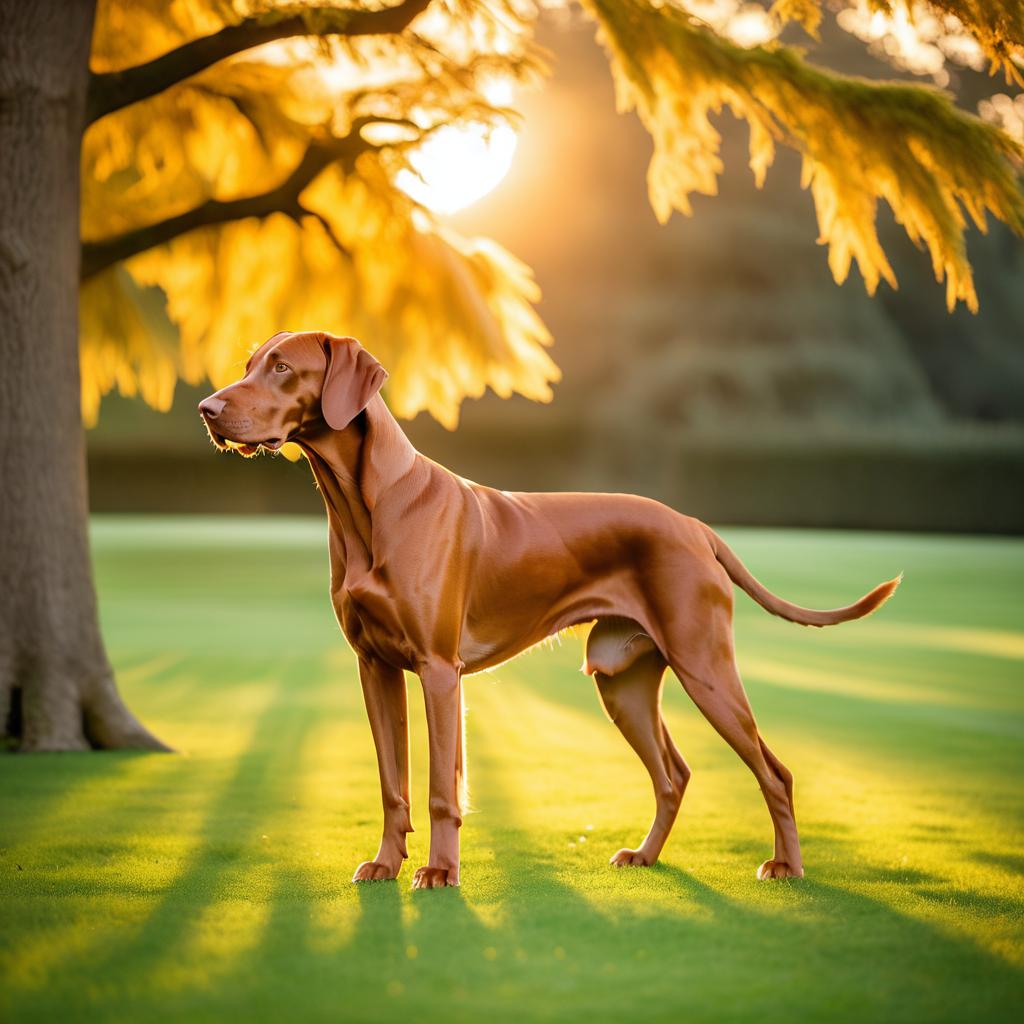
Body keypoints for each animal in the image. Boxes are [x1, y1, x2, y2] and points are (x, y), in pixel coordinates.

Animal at [197, 329, 897, 888]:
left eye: (281, 367)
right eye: (249, 363)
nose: (207, 409)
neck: (366, 504)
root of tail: (695, 525)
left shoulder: (438, 671)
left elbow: (441, 787)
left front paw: (441, 872)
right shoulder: (375, 668)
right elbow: (393, 785)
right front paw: (387, 864)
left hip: (705, 666)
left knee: (775, 773)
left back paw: (787, 867)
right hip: (623, 683)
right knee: (673, 774)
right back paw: (645, 856)